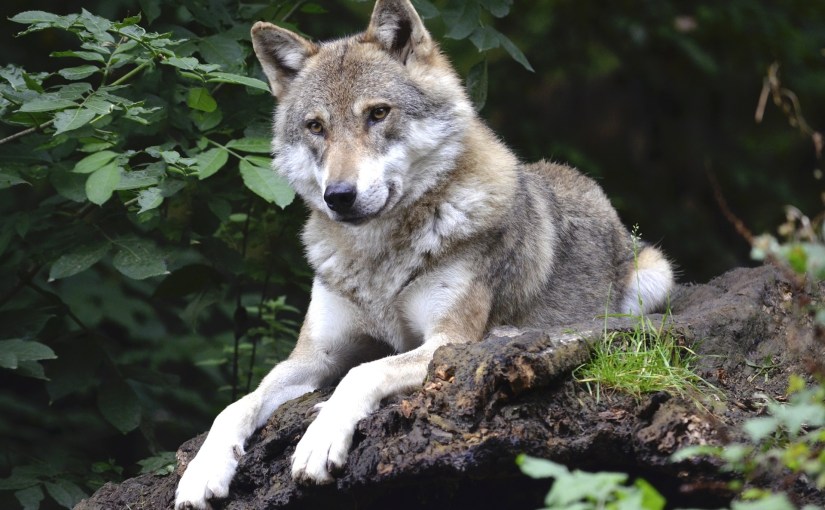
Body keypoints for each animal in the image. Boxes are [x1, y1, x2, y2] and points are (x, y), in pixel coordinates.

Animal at [174, 0, 674, 507]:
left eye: (378, 114)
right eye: (316, 127)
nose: (339, 196)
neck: (378, 259)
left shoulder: (445, 341)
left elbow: (362, 373)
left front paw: (319, 440)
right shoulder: (314, 356)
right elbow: (237, 404)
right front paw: (202, 471)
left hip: (654, 278)